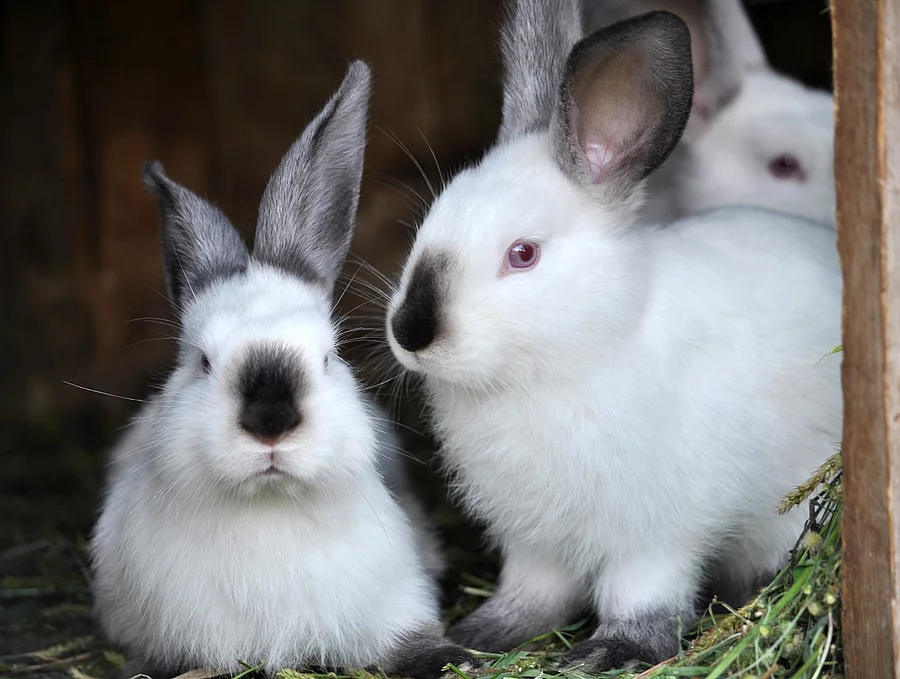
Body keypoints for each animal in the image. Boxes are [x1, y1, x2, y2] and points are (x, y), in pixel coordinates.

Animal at [90, 61, 471, 679]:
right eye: (200, 361)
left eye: (329, 356)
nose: (271, 422)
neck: (268, 510)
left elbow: (413, 642)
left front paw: (453, 658)